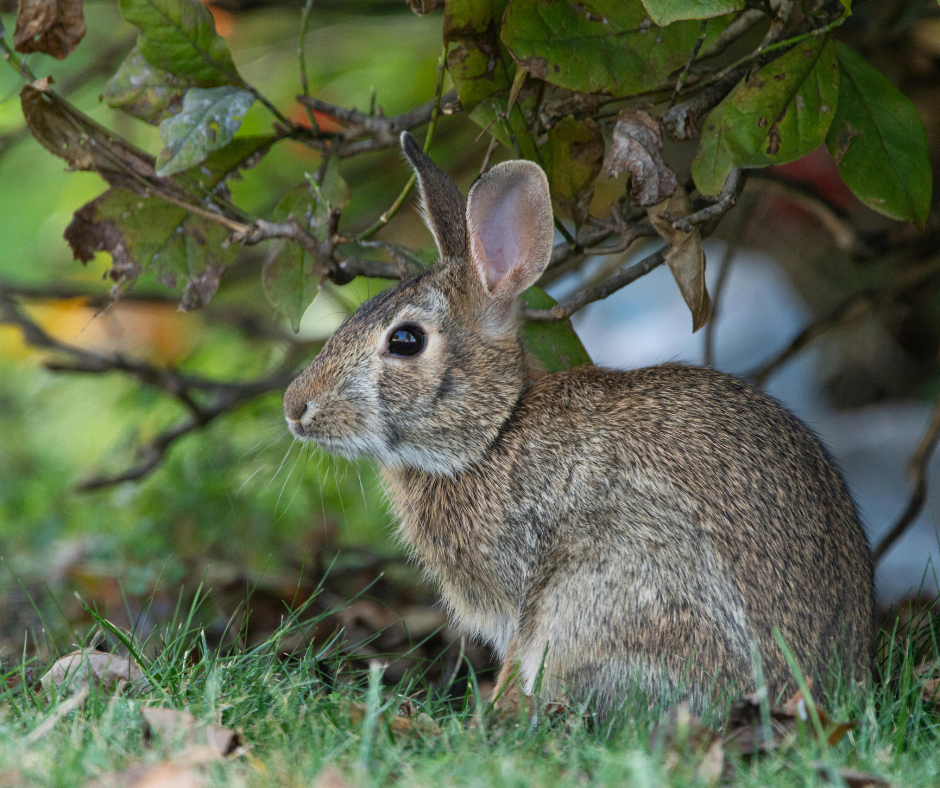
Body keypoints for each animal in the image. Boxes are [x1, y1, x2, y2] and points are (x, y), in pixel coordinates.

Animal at [283, 131, 874, 715]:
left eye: (406, 341)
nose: (295, 407)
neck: (493, 433)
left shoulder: (525, 589)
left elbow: (516, 654)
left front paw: (493, 710)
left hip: (602, 591)